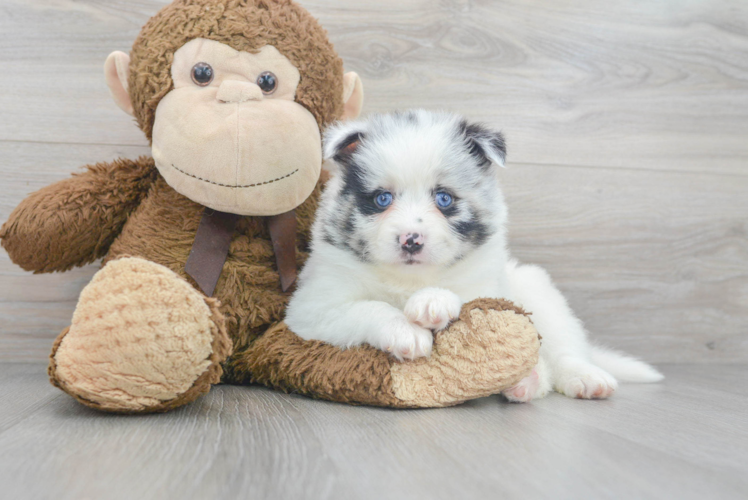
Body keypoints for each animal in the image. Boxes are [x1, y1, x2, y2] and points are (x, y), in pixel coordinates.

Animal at [284, 110, 660, 402]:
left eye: (444, 199)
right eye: (381, 199)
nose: (411, 241)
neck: (409, 280)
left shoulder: (486, 288)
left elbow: (459, 295)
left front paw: (432, 302)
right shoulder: (311, 309)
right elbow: (368, 307)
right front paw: (405, 331)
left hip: (540, 294)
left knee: (564, 349)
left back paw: (580, 378)